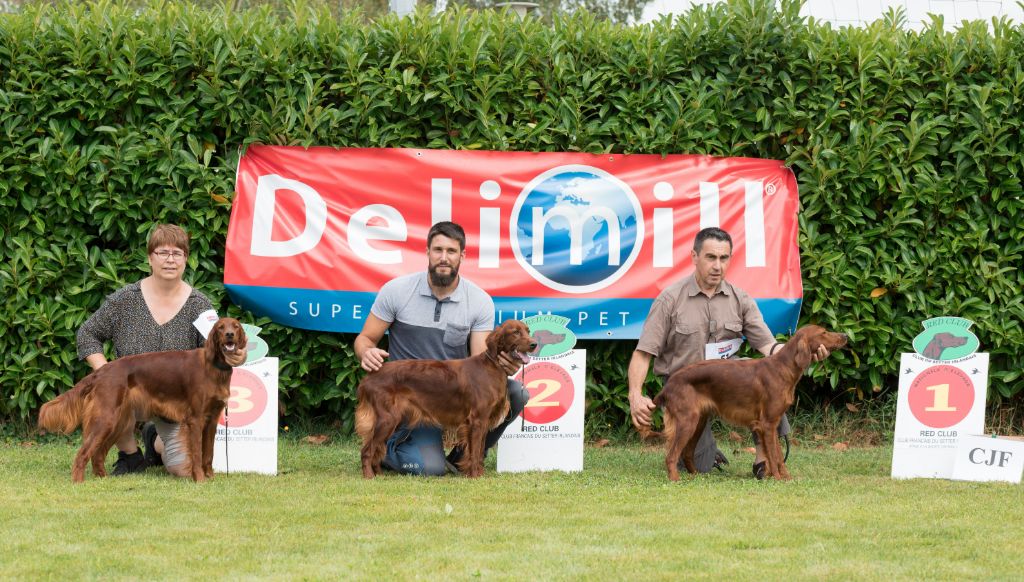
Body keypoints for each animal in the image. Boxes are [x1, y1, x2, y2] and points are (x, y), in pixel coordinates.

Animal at [38, 317, 247, 481]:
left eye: (235, 326)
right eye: (220, 327)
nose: (229, 334)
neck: (213, 367)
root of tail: (101, 372)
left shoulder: (211, 420)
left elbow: (208, 453)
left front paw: (210, 477)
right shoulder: (195, 420)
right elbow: (196, 453)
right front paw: (200, 479)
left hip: (118, 421)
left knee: (97, 454)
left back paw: (103, 479)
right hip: (106, 418)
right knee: (83, 454)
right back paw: (78, 482)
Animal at [356, 317, 536, 477]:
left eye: (528, 331)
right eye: (515, 332)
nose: (534, 344)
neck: (492, 366)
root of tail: (370, 376)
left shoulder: (483, 422)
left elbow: (478, 451)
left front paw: (477, 473)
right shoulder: (477, 420)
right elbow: (475, 452)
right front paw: (475, 476)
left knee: (377, 449)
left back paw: (379, 474)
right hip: (388, 419)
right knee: (367, 450)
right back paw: (369, 476)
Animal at [647, 325, 847, 479]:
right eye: (823, 332)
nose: (845, 336)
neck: (784, 368)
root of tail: (669, 384)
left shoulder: (772, 423)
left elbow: (778, 455)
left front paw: (785, 477)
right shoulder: (767, 424)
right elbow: (773, 456)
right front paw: (777, 478)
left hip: (697, 422)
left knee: (687, 453)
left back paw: (695, 476)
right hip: (687, 421)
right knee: (671, 455)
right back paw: (675, 479)